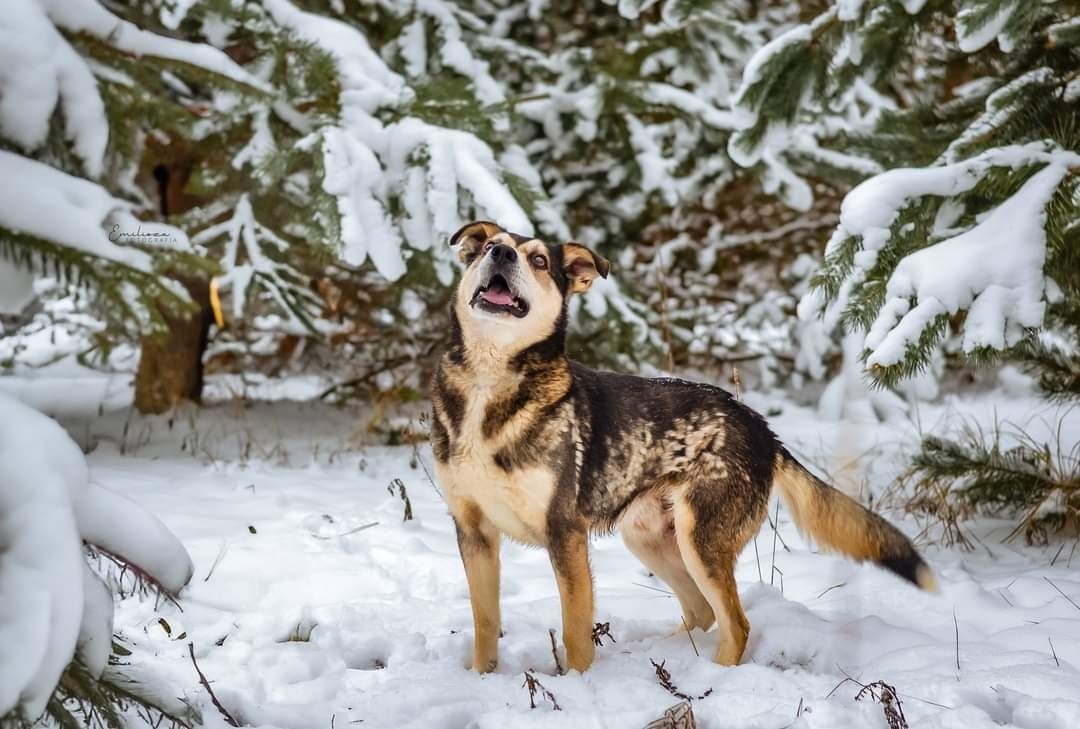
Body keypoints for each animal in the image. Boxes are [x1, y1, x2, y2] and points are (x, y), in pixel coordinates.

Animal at [429, 219, 937, 673]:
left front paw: (577, 685)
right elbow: (484, 621)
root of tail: (761, 427)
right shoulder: (473, 532)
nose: (501, 253)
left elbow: (575, 632)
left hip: (701, 539)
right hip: (650, 538)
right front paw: (481, 678)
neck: (489, 381)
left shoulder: (565, 532)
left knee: (736, 623)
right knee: (703, 611)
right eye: (487, 247)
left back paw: (715, 673)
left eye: (537, 260)